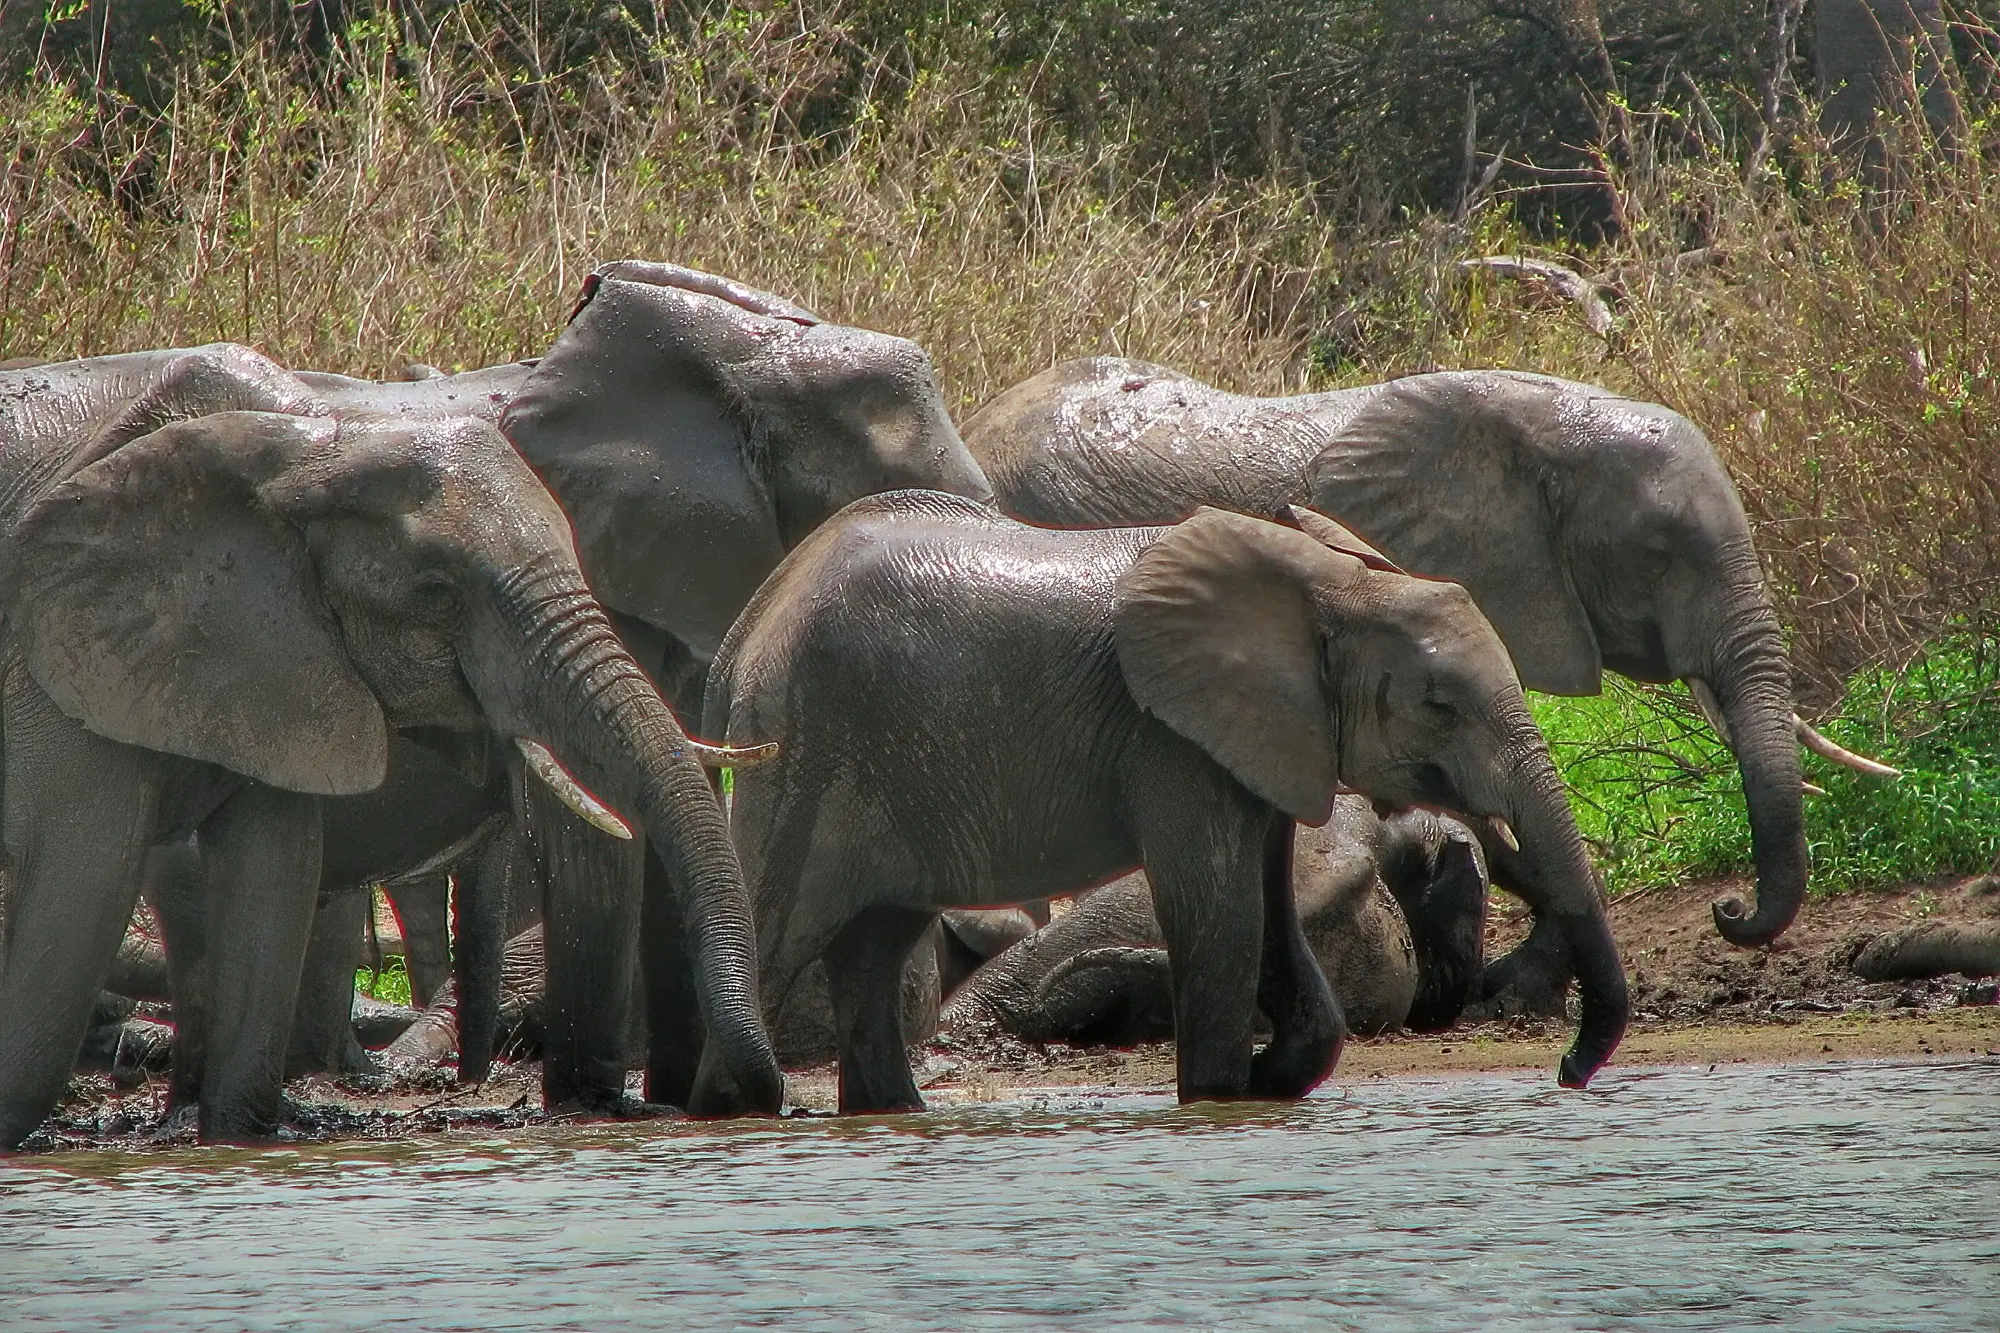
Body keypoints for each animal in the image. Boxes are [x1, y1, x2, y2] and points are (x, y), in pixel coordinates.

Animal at [0, 345, 781, 1148]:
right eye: (436, 590)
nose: (758, 1100)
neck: (309, 452)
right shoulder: (61, 657)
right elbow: (77, 895)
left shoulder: (275, 658)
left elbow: (270, 880)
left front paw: (236, 1144)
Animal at [701, 491, 1627, 1115]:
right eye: (1440, 706)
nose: (1566, 1070)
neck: (1330, 586)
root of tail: (742, 631)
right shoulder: (1171, 740)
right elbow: (1216, 917)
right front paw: (1219, 1098)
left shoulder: (1259, 744)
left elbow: (1268, 912)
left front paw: (1268, 1078)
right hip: (806, 752)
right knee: (776, 929)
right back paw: (726, 1111)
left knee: (875, 945)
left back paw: (887, 1112)